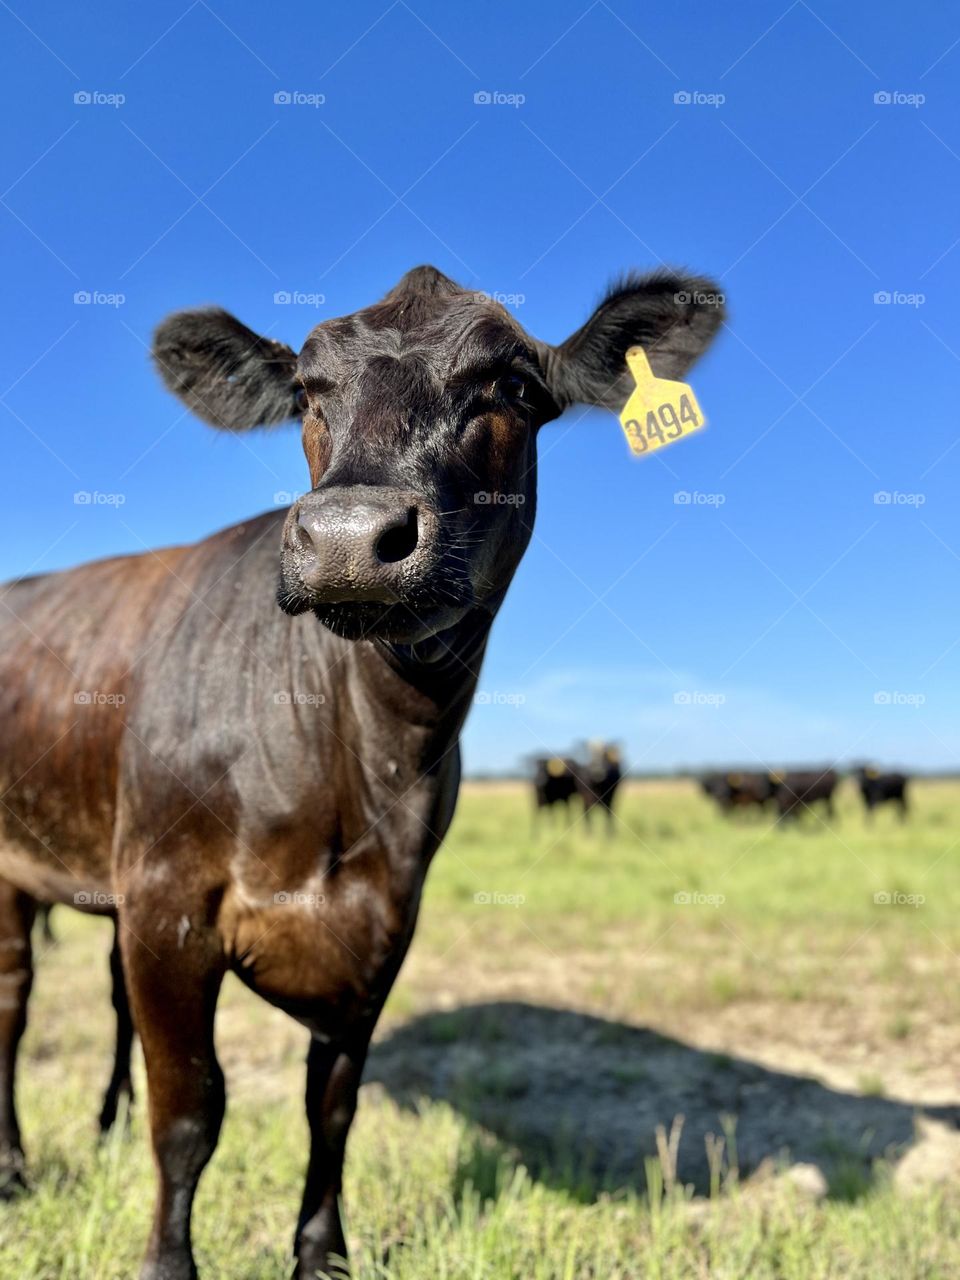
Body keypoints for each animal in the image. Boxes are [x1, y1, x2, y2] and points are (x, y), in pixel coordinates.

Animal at [0, 262, 721, 1280]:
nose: (347, 537)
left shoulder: (382, 926)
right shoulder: (169, 906)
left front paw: (320, 1256)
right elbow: (190, 1110)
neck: (357, 761)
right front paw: (168, 1261)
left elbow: (331, 1107)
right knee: (14, 1005)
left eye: (510, 387)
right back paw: (15, 1167)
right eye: (308, 392)